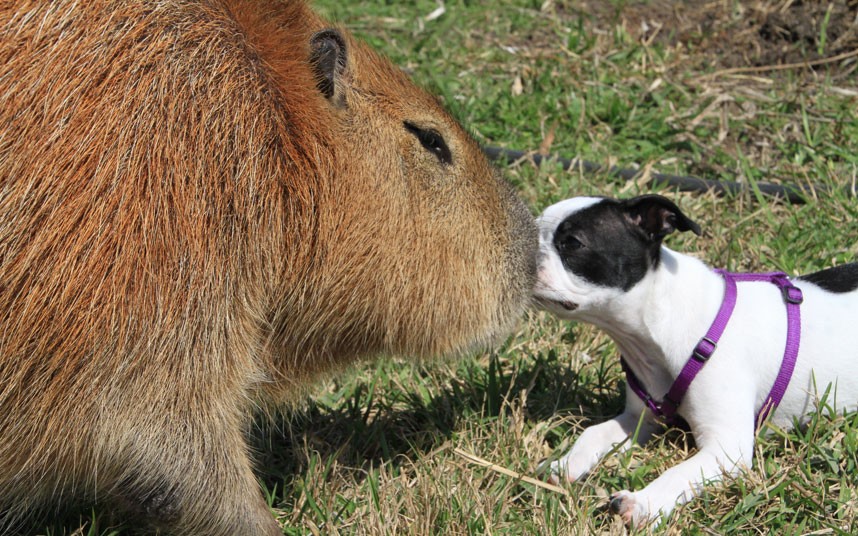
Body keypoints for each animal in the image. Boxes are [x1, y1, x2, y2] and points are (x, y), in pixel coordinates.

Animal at [536, 195, 856, 524]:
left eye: (572, 243)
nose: (526, 254)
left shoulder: (726, 449)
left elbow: (676, 474)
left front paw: (642, 503)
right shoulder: (640, 417)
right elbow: (593, 432)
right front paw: (566, 463)